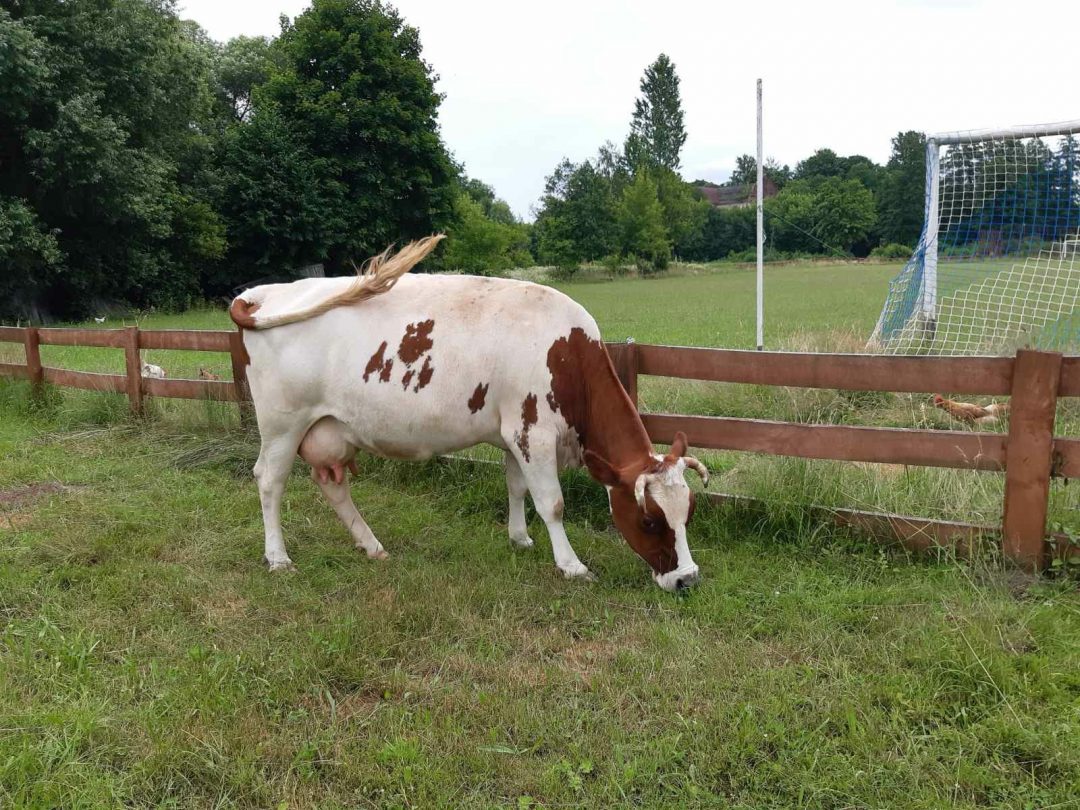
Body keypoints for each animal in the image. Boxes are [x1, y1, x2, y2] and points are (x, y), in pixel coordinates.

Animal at [230, 234, 708, 591]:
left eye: (687, 511)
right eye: (649, 520)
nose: (687, 580)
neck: (566, 352)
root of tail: (264, 292)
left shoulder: (513, 435)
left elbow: (516, 488)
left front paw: (519, 538)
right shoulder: (533, 433)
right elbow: (551, 503)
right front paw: (571, 565)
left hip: (329, 429)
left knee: (333, 486)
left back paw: (372, 546)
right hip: (282, 424)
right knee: (269, 481)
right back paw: (278, 557)